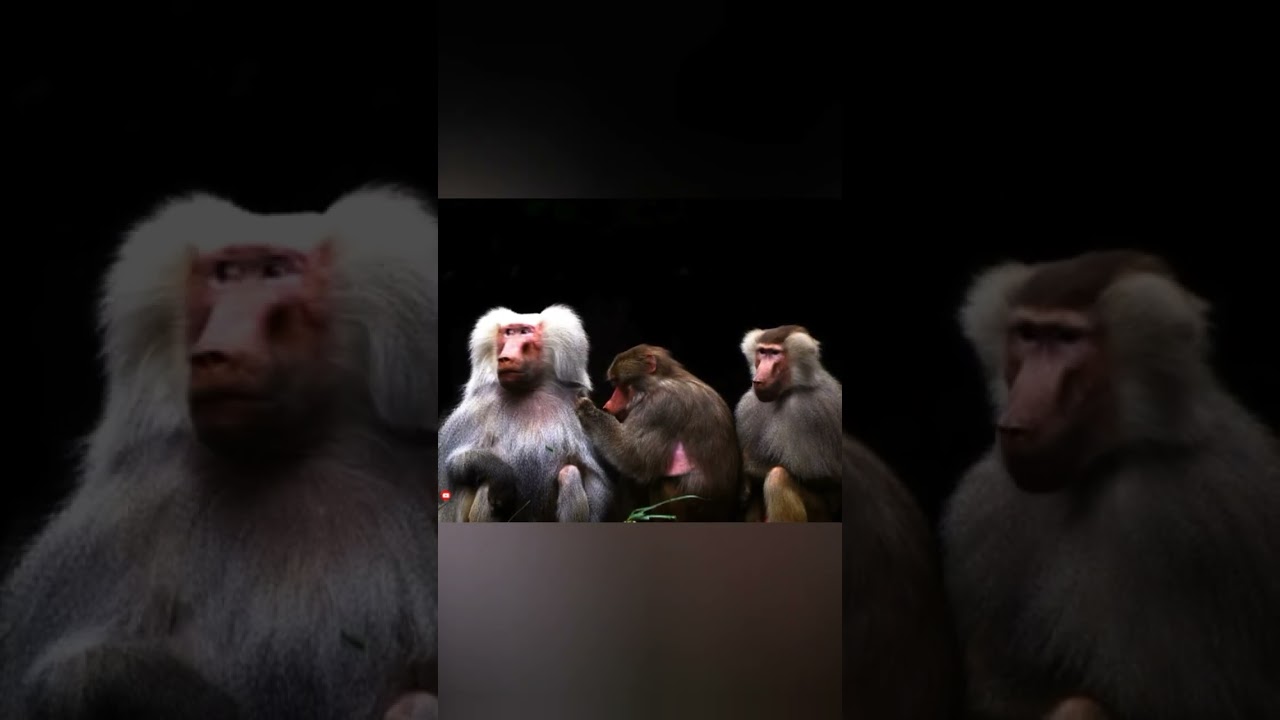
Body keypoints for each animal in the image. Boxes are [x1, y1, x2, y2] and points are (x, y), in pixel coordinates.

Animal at [438, 304, 613, 522]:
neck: (528, 390)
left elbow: (596, 480)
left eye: (524, 332)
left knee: (570, 474)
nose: (505, 358)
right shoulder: (478, 407)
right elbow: (452, 466)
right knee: (486, 481)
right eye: (508, 332)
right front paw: (501, 475)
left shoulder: (577, 405)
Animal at [575, 344, 743, 522]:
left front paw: (587, 410)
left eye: (619, 384)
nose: (608, 404)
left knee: (658, 482)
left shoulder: (659, 407)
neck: (660, 381)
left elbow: (633, 456)